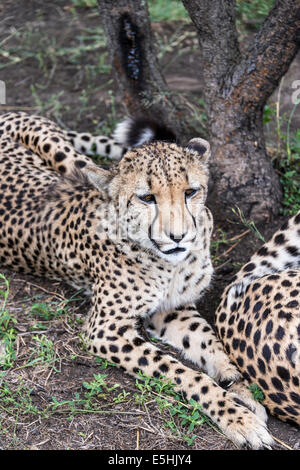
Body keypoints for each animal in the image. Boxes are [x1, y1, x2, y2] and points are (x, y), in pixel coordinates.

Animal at [0, 111, 274, 448]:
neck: (168, 262)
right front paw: (236, 417)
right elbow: (183, 372)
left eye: (190, 192)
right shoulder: (105, 329)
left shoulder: (173, 309)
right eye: (147, 198)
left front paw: (243, 391)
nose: (179, 237)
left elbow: (214, 347)